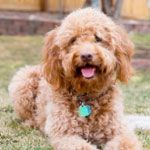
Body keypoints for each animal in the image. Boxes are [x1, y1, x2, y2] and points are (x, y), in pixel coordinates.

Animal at [8, 8, 142, 150]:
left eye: (98, 38)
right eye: (73, 40)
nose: (86, 55)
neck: (87, 95)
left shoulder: (120, 131)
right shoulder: (64, 134)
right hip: (23, 81)